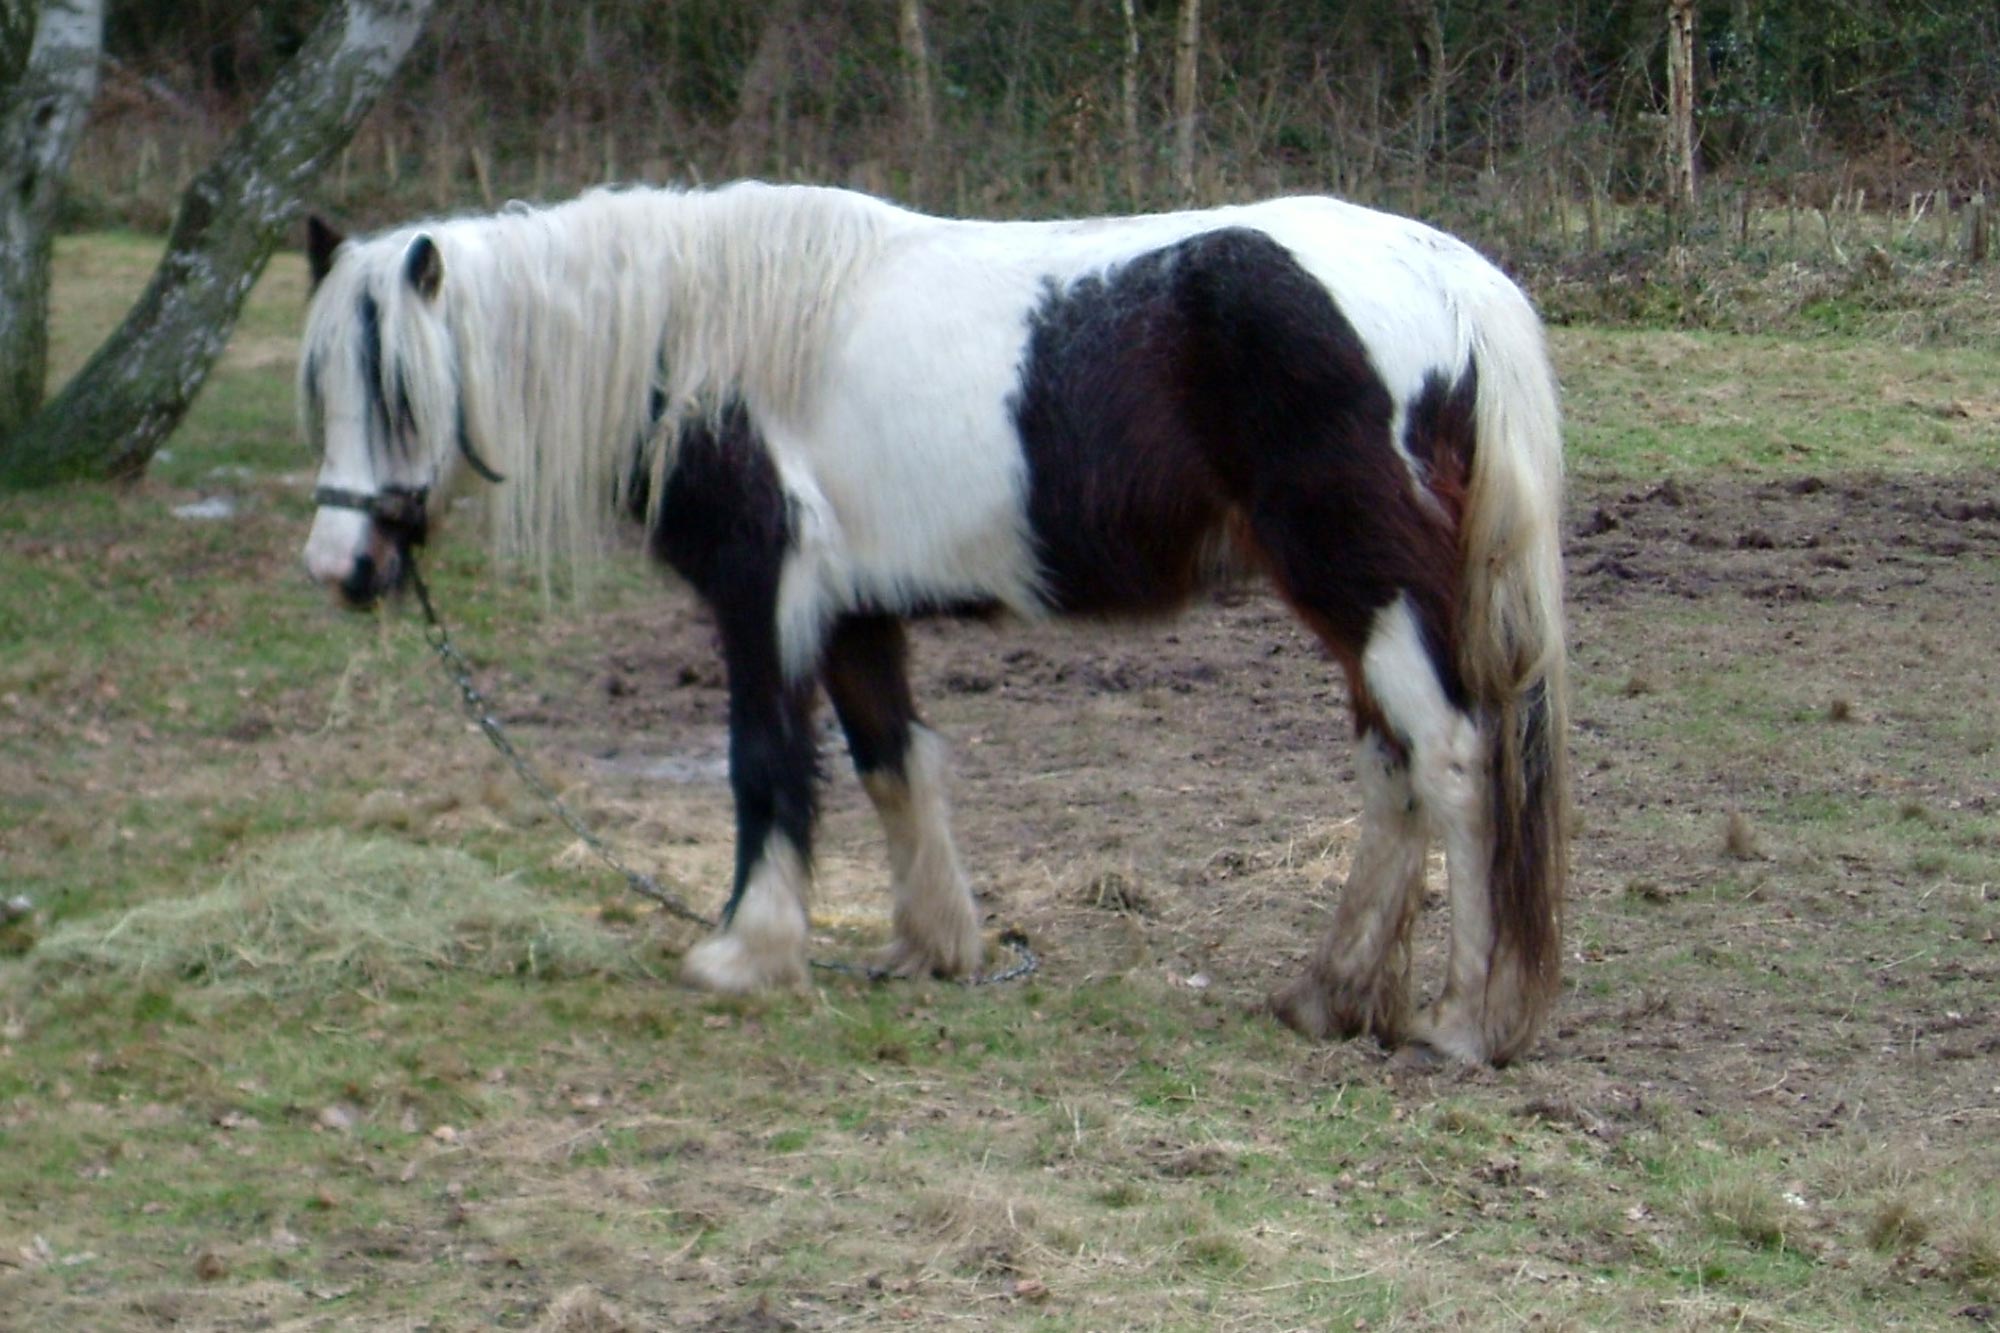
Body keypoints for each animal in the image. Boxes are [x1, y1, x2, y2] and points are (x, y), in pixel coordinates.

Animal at [300, 182, 1576, 1064]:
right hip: (1355, 605)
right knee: (1390, 771)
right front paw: (934, 947)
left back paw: (1462, 1021)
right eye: (323, 390)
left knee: (1450, 762)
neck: (707, 341)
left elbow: (765, 765)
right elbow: (890, 764)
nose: (340, 567)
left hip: (1365, 589)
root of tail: (1449, 279)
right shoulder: (854, 615)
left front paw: (745, 952)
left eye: (404, 391)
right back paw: (1328, 995)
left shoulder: (763, 596)